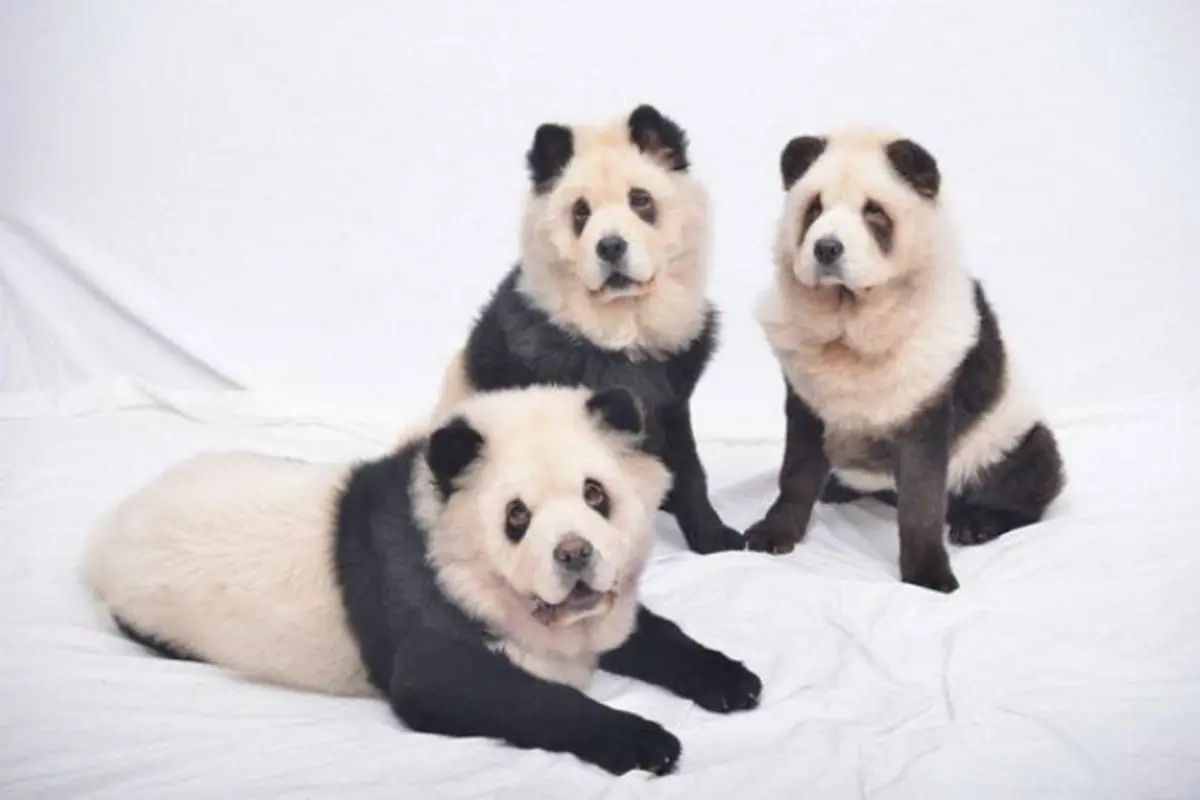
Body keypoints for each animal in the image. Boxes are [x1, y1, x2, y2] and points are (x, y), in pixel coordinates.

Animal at [82, 385, 762, 776]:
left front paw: (731, 679)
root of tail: (115, 521)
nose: (573, 555)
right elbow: (469, 686)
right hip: (154, 608)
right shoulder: (419, 592)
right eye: (516, 517)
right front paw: (644, 740)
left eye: (597, 494)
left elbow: (650, 633)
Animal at [434, 104, 743, 555]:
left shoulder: (670, 388)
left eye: (640, 200)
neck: (622, 326)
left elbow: (688, 465)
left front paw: (715, 537)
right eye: (580, 213)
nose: (611, 246)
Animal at [744, 127, 1066, 593]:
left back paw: (979, 522)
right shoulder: (806, 385)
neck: (850, 321)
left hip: (1006, 435)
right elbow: (798, 466)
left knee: (1030, 473)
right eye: (814, 208)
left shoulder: (931, 378)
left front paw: (928, 573)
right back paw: (838, 487)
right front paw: (773, 533)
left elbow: (922, 487)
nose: (826, 249)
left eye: (873, 212)